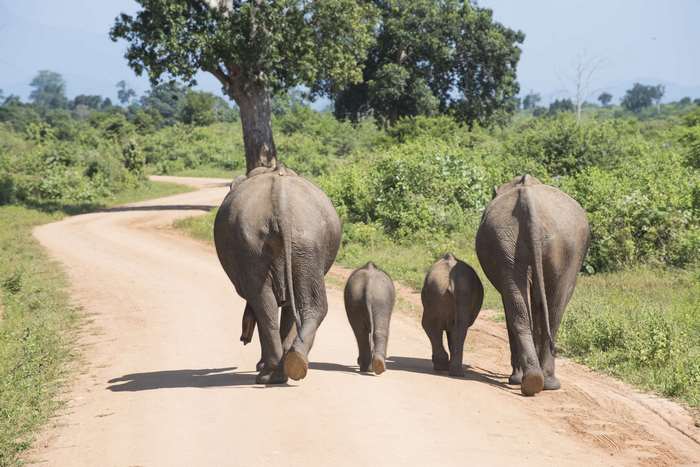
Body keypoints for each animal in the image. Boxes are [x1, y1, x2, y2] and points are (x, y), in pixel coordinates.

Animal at [214, 163, 341, 384]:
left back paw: (270, 373)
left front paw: (261, 365)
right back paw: (292, 364)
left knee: (264, 302)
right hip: (300, 242)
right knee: (302, 304)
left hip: (261, 245)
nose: (243, 338)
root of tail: (281, 202)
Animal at [475, 174, 589, 396]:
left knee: (529, 309)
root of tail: (529, 204)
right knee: (551, 311)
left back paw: (532, 380)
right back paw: (541, 381)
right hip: (527, 243)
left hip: (532, 243)